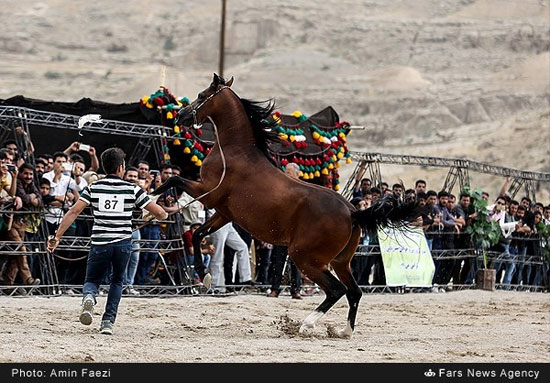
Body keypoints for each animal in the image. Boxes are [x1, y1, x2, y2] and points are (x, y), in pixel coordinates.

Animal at [155, 73, 418, 338]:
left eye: (201, 95)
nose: (180, 116)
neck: (235, 152)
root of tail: (353, 212)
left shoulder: (208, 193)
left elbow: (173, 180)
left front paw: (152, 197)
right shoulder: (223, 213)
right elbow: (198, 234)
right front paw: (205, 276)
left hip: (305, 257)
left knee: (337, 290)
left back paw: (306, 325)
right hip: (340, 262)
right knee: (355, 292)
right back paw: (344, 332)